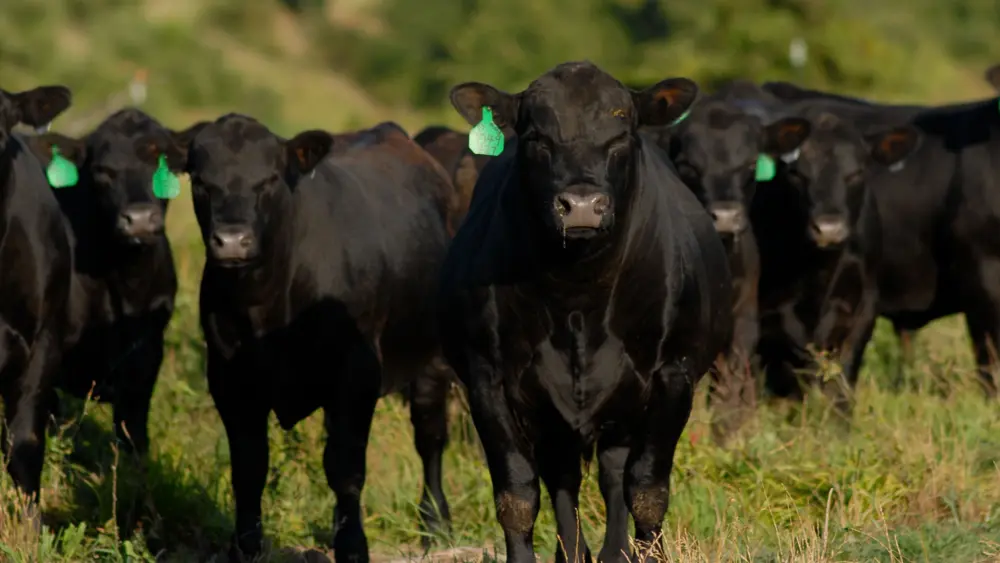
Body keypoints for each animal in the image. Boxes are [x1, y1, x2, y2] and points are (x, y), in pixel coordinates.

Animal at [163, 116, 455, 562]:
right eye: (200, 181)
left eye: (268, 179)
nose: (232, 240)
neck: (265, 303)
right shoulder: (229, 378)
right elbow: (249, 468)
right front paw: (245, 546)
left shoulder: (355, 373)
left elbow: (345, 468)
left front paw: (352, 546)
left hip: (433, 358)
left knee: (430, 438)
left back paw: (435, 524)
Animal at [438, 61, 733, 563]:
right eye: (536, 136)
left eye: (621, 134)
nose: (580, 206)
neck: (576, 296)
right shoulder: (487, 381)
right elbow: (517, 497)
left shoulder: (674, 376)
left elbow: (647, 491)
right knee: (565, 480)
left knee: (614, 476)